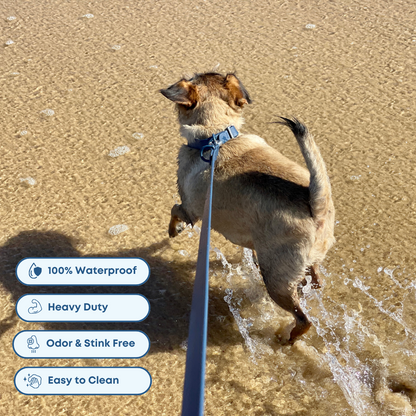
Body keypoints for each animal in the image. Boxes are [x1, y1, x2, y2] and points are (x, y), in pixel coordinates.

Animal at [159, 72, 334, 344]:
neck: (217, 136)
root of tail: (316, 205)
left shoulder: (190, 210)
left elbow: (174, 210)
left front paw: (172, 232)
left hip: (276, 280)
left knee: (303, 320)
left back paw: (287, 338)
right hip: (302, 264)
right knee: (314, 281)